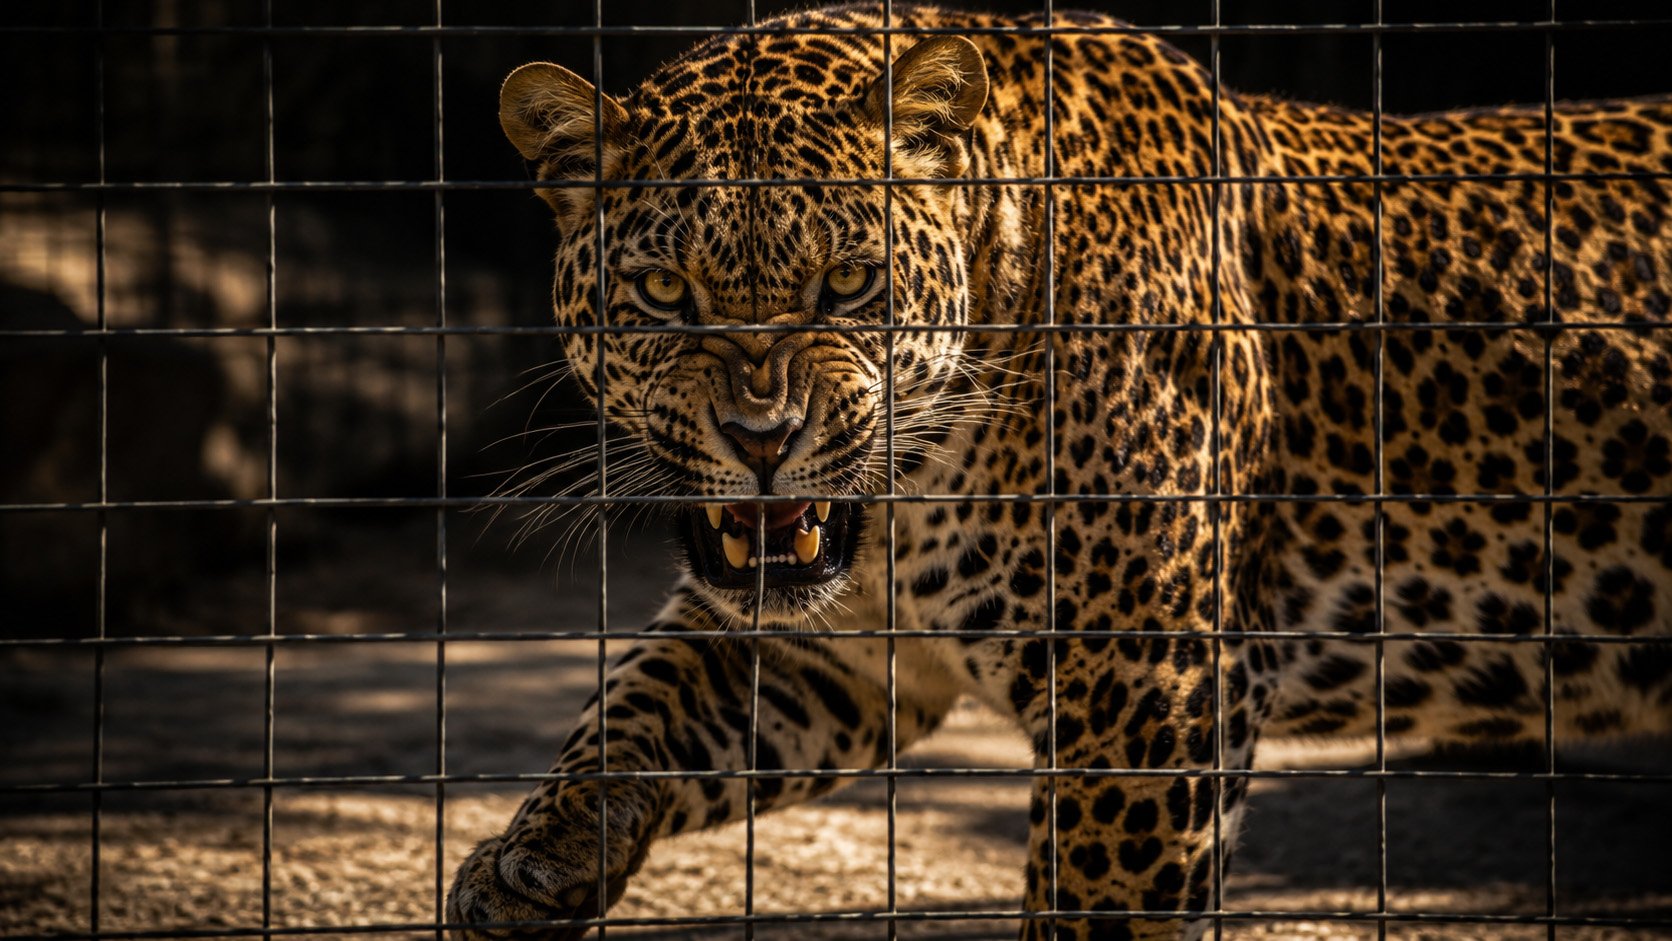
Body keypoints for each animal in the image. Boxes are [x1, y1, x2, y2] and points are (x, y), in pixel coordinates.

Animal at [448, 4, 1672, 939]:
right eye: (663, 293)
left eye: (848, 282)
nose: (763, 436)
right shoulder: (834, 657)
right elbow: (633, 706)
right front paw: (531, 859)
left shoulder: (1146, 694)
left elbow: (1095, 905)